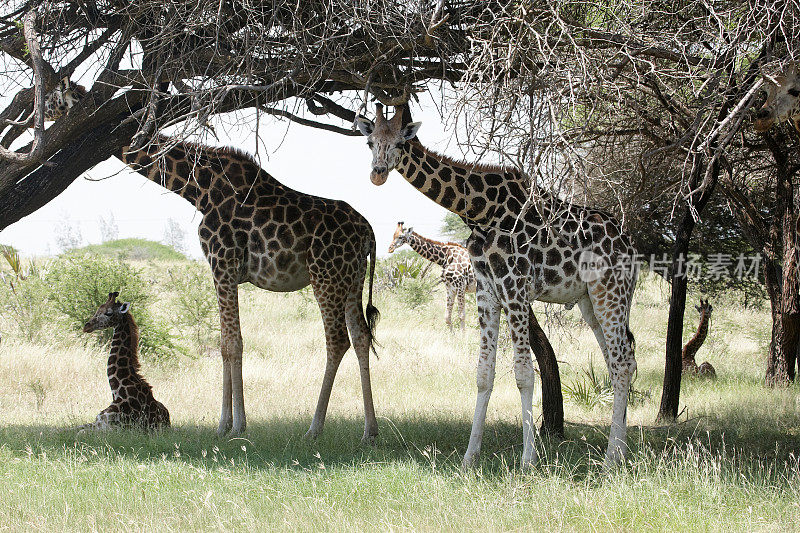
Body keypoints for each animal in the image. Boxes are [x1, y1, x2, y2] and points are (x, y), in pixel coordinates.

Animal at [81, 290, 170, 428]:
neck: (118, 392)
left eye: (108, 313)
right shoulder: (97, 421)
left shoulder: (107, 426)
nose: (87, 326)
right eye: (97, 310)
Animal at [356, 105, 636, 470]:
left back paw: (612, 458)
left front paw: (528, 461)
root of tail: (631, 246)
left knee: (621, 362)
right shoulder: (487, 290)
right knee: (620, 361)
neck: (478, 211)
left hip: (610, 291)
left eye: (400, 143)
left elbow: (524, 374)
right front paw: (468, 459)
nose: (377, 173)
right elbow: (483, 373)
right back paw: (622, 451)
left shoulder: (515, 286)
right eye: (370, 141)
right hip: (591, 302)